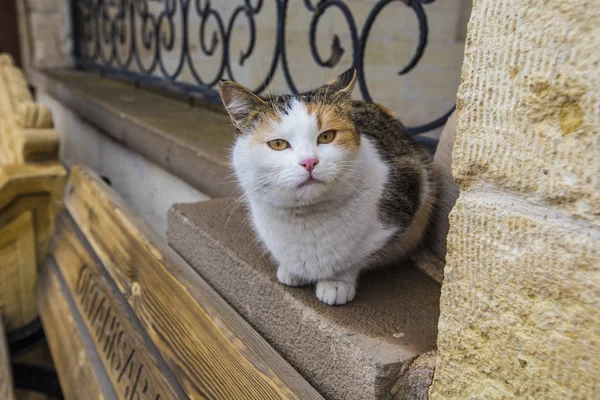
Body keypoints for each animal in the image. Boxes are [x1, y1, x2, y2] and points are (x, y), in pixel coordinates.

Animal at [218, 69, 438, 306]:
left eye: (326, 136)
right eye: (277, 144)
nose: (309, 162)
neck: (305, 219)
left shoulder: (409, 189)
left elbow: (354, 260)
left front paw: (337, 283)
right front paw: (291, 271)